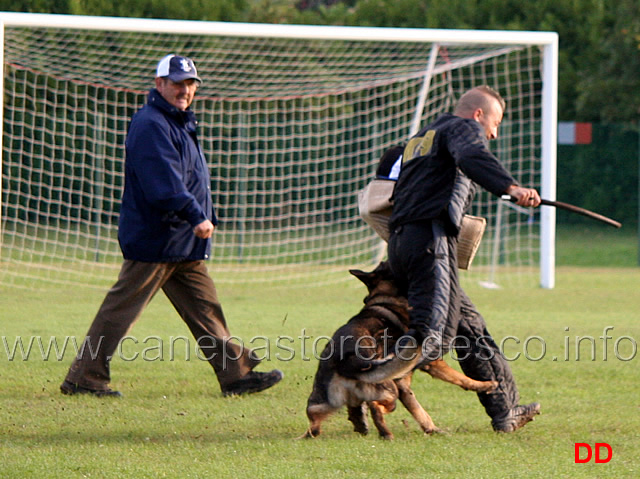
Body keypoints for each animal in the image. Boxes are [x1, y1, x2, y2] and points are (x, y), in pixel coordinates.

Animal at [302, 262, 498, 442]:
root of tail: (347, 361)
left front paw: (433, 430)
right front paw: (485, 385)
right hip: (388, 390)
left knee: (321, 425)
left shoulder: (405, 384)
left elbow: (418, 410)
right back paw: (385, 434)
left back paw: (361, 425)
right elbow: (460, 378)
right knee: (375, 406)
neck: (386, 296)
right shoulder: (431, 363)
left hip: (320, 405)